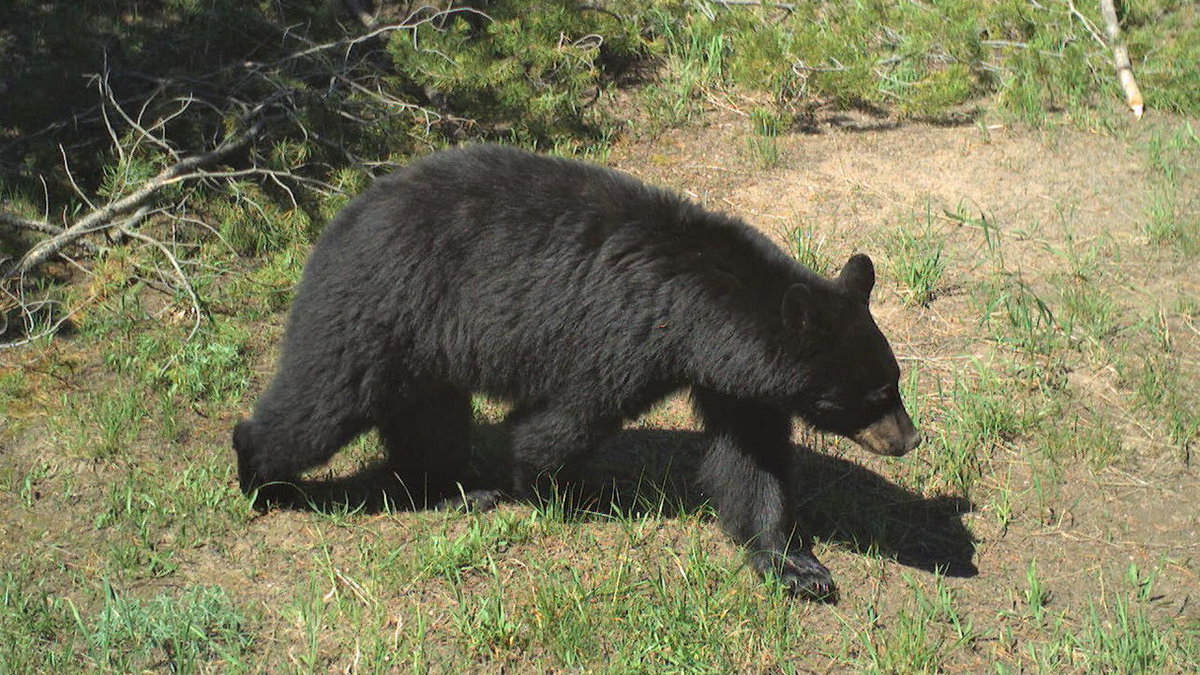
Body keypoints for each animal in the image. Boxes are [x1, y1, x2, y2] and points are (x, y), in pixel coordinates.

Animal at [233, 144, 921, 600]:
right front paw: (553, 490)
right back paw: (262, 478)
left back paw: (455, 489)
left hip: (422, 342)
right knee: (322, 403)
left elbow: (750, 463)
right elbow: (564, 420)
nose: (909, 438)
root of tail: (342, 218)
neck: (703, 309)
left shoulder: (734, 379)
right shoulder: (623, 338)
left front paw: (797, 565)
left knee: (426, 414)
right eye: (876, 393)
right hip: (381, 304)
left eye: (894, 382)